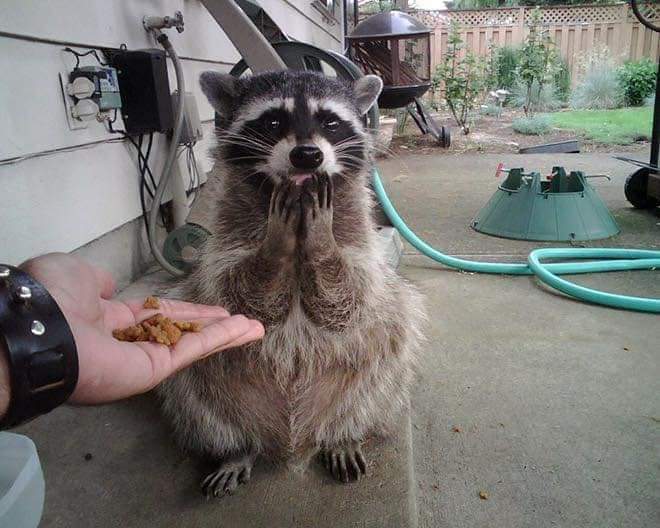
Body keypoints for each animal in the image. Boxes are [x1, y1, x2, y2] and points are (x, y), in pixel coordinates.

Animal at [158, 70, 425, 497]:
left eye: (330, 122)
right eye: (272, 121)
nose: (307, 155)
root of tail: (292, 441)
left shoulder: (357, 234)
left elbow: (349, 300)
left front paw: (322, 244)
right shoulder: (227, 238)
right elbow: (239, 298)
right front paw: (275, 248)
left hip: (371, 381)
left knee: (392, 342)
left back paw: (344, 435)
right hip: (211, 391)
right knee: (190, 386)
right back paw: (234, 449)